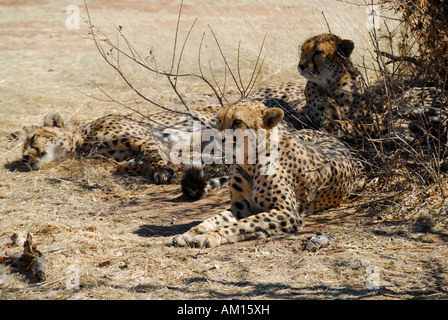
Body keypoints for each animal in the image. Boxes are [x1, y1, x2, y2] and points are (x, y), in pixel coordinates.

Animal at [170, 100, 366, 248]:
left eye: (238, 122)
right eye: (219, 119)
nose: (217, 138)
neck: (248, 160)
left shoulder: (287, 212)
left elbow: (240, 225)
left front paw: (210, 236)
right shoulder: (241, 207)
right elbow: (213, 219)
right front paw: (189, 233)